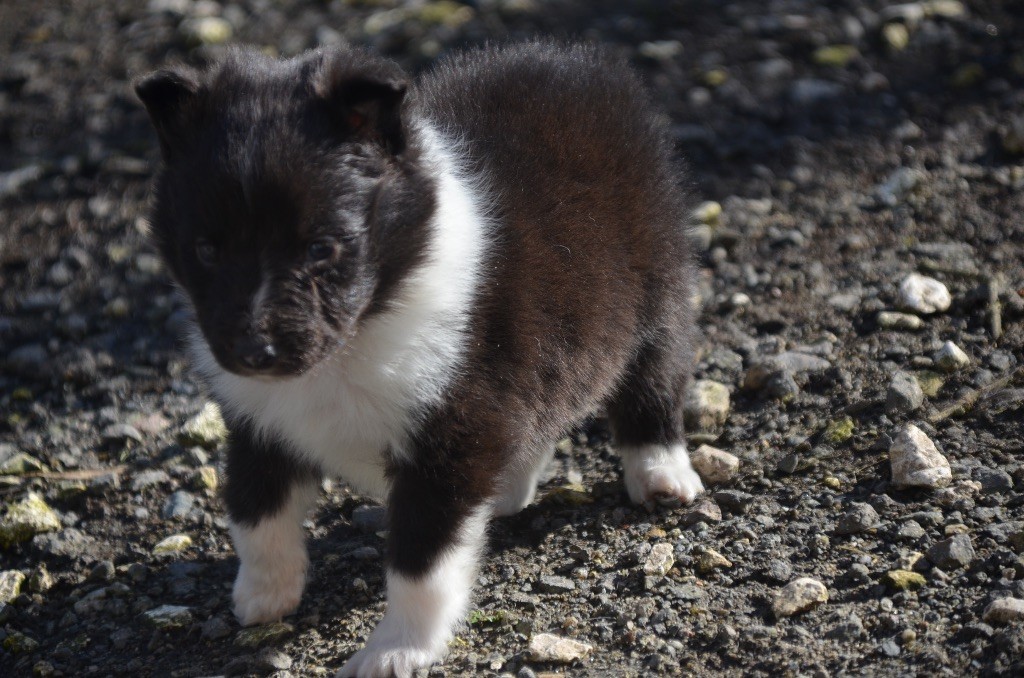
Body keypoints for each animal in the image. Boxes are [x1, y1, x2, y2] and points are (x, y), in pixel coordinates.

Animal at [138, 42, 704, 678]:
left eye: (320, 248)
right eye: (206, 250)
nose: (255, 353)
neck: (357, 335)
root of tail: (588, 65)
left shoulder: (452, 435)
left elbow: (421, 560)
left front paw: (396, 650)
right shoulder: (259, 423)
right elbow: (257, 514)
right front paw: (263, 596)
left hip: (658, 290)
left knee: (653, 382)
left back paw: (661, 474)